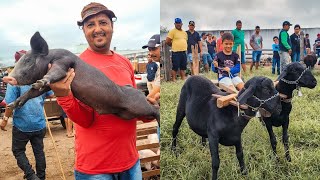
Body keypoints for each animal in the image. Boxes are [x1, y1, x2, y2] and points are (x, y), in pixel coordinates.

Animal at [3, 31, 160, 124]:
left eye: (28, 60)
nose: (7, 78)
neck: (51, 57)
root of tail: (140, 93)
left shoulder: (64, 62)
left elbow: (56, 73)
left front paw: (39, 81)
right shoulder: (47, 88)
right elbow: (33, 92)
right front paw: (12, 104)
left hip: (139, 105)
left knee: (154, 108)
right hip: (125, 114)